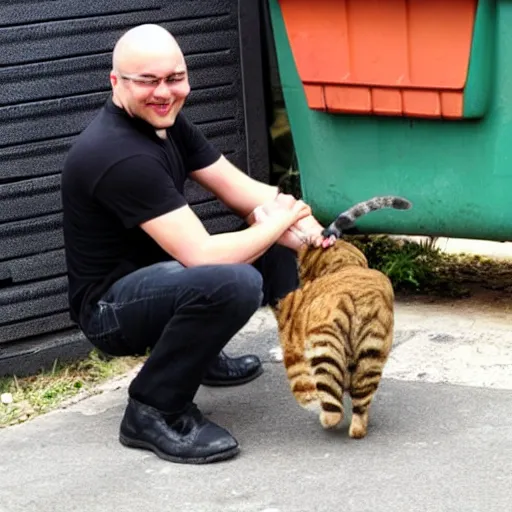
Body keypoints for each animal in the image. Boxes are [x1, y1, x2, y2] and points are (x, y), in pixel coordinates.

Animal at [272, 195, 412, 436]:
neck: (342, 263)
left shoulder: (294, 352)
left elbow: (304, 389)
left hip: (326, 349)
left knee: (333, 410)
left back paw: (325, 418)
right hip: (371, 355)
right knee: (360, 407)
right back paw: (357, 428)